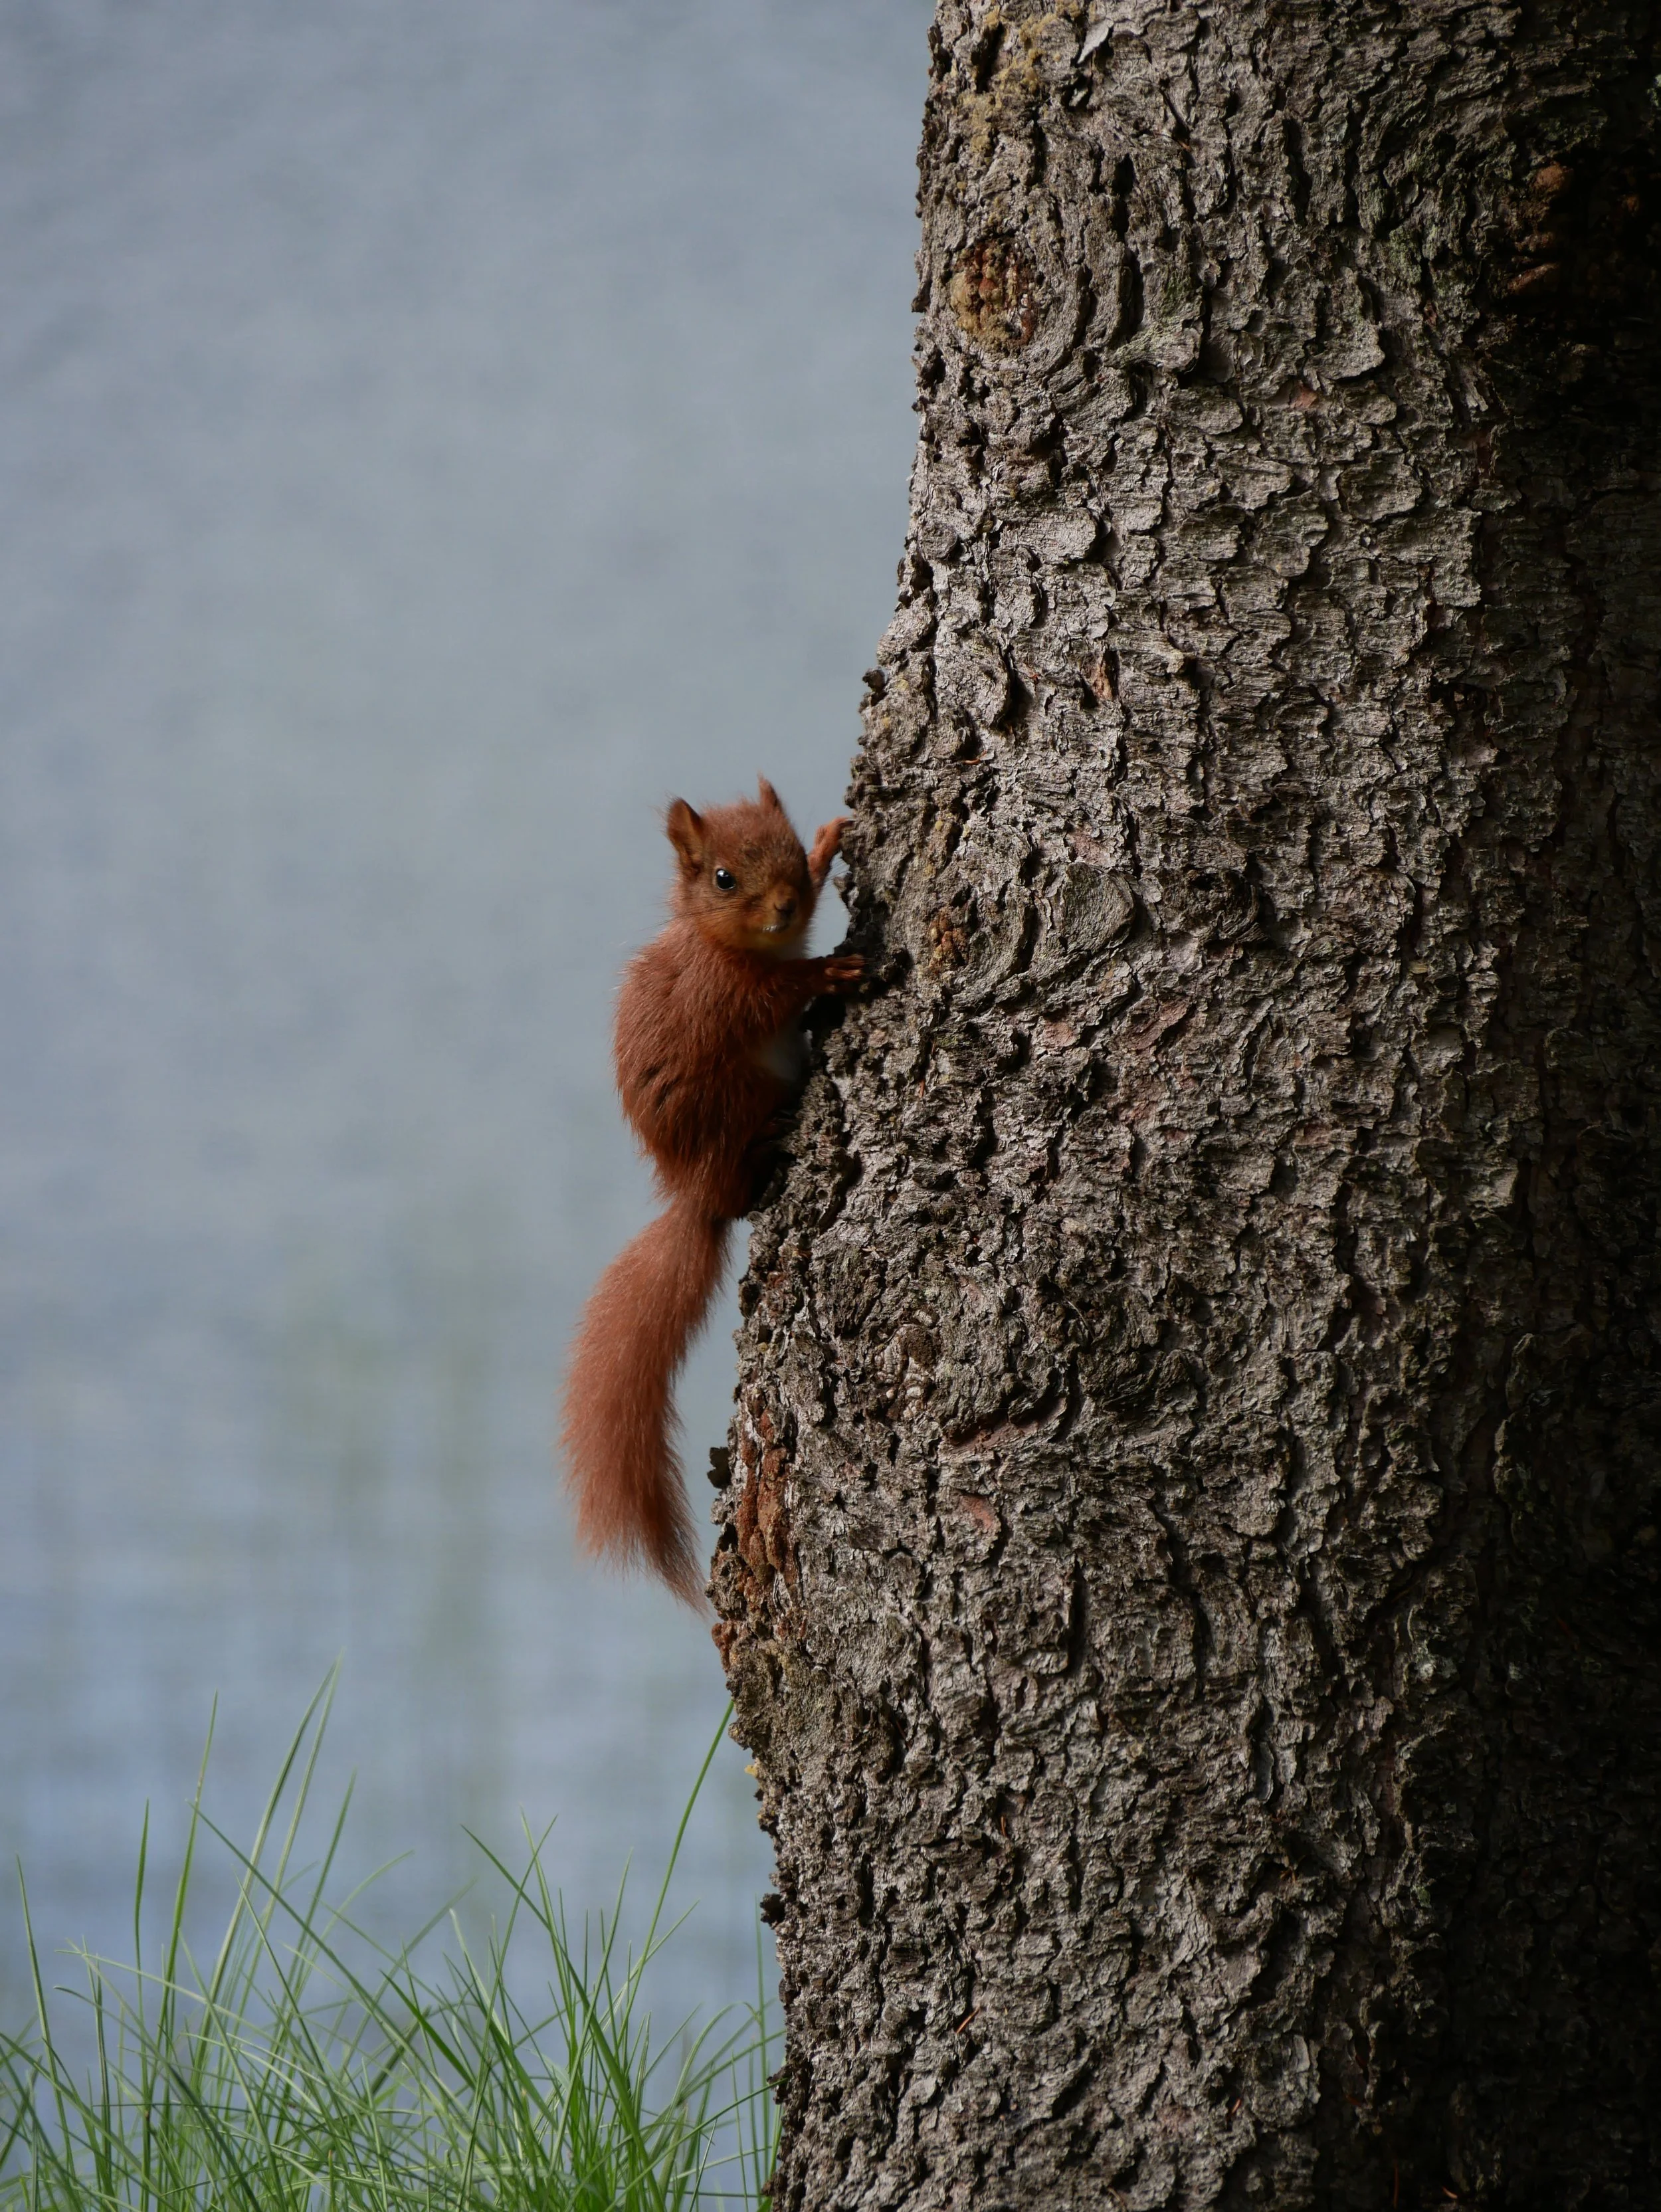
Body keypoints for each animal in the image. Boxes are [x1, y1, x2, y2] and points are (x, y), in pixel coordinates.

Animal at [561, 777, 863, 1604]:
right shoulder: (722, 995)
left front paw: (828, 848)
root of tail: (698, 1194)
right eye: (723, 879)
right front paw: (823, 973)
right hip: (738, 1093)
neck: (736, 944)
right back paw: (769, 1139)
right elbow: (773, 996)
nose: (785, 905)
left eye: (785, 846)